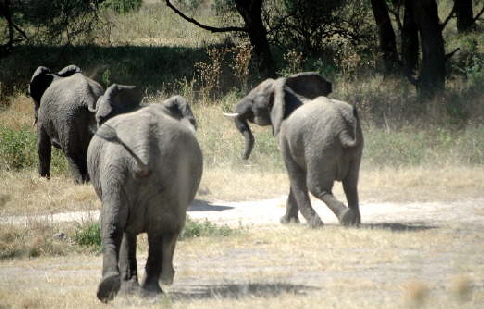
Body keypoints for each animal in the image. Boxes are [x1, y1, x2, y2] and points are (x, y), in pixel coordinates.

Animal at [87, 83, 202, 300]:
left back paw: (126, 290)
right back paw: (135, 289)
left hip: (119, 167)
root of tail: (143, 145)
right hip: (137, 167)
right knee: (137, 225)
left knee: (118, 223)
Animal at [225, 71, 362, 226]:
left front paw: (301, 222)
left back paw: (341, 218)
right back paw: (354, 222)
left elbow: (294, 175)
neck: (286, 93)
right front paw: (287, 221)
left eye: (253, 100)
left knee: (316, 187)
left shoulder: (285, 138)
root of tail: (344, 131)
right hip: (354, 149)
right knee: (351, 185)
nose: (244, 158)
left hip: (321, 146)